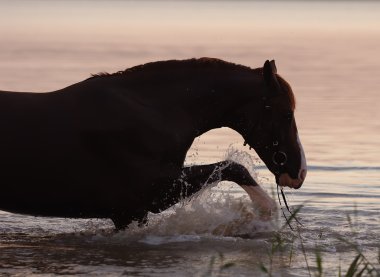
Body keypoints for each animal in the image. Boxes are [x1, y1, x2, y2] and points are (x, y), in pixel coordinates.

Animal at [0, 57, 306, 227]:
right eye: (286, 114)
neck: (155, 110)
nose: (299, 172)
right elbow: (234, 167)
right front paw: (264, 213)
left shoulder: (134, 211)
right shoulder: (150, 196)